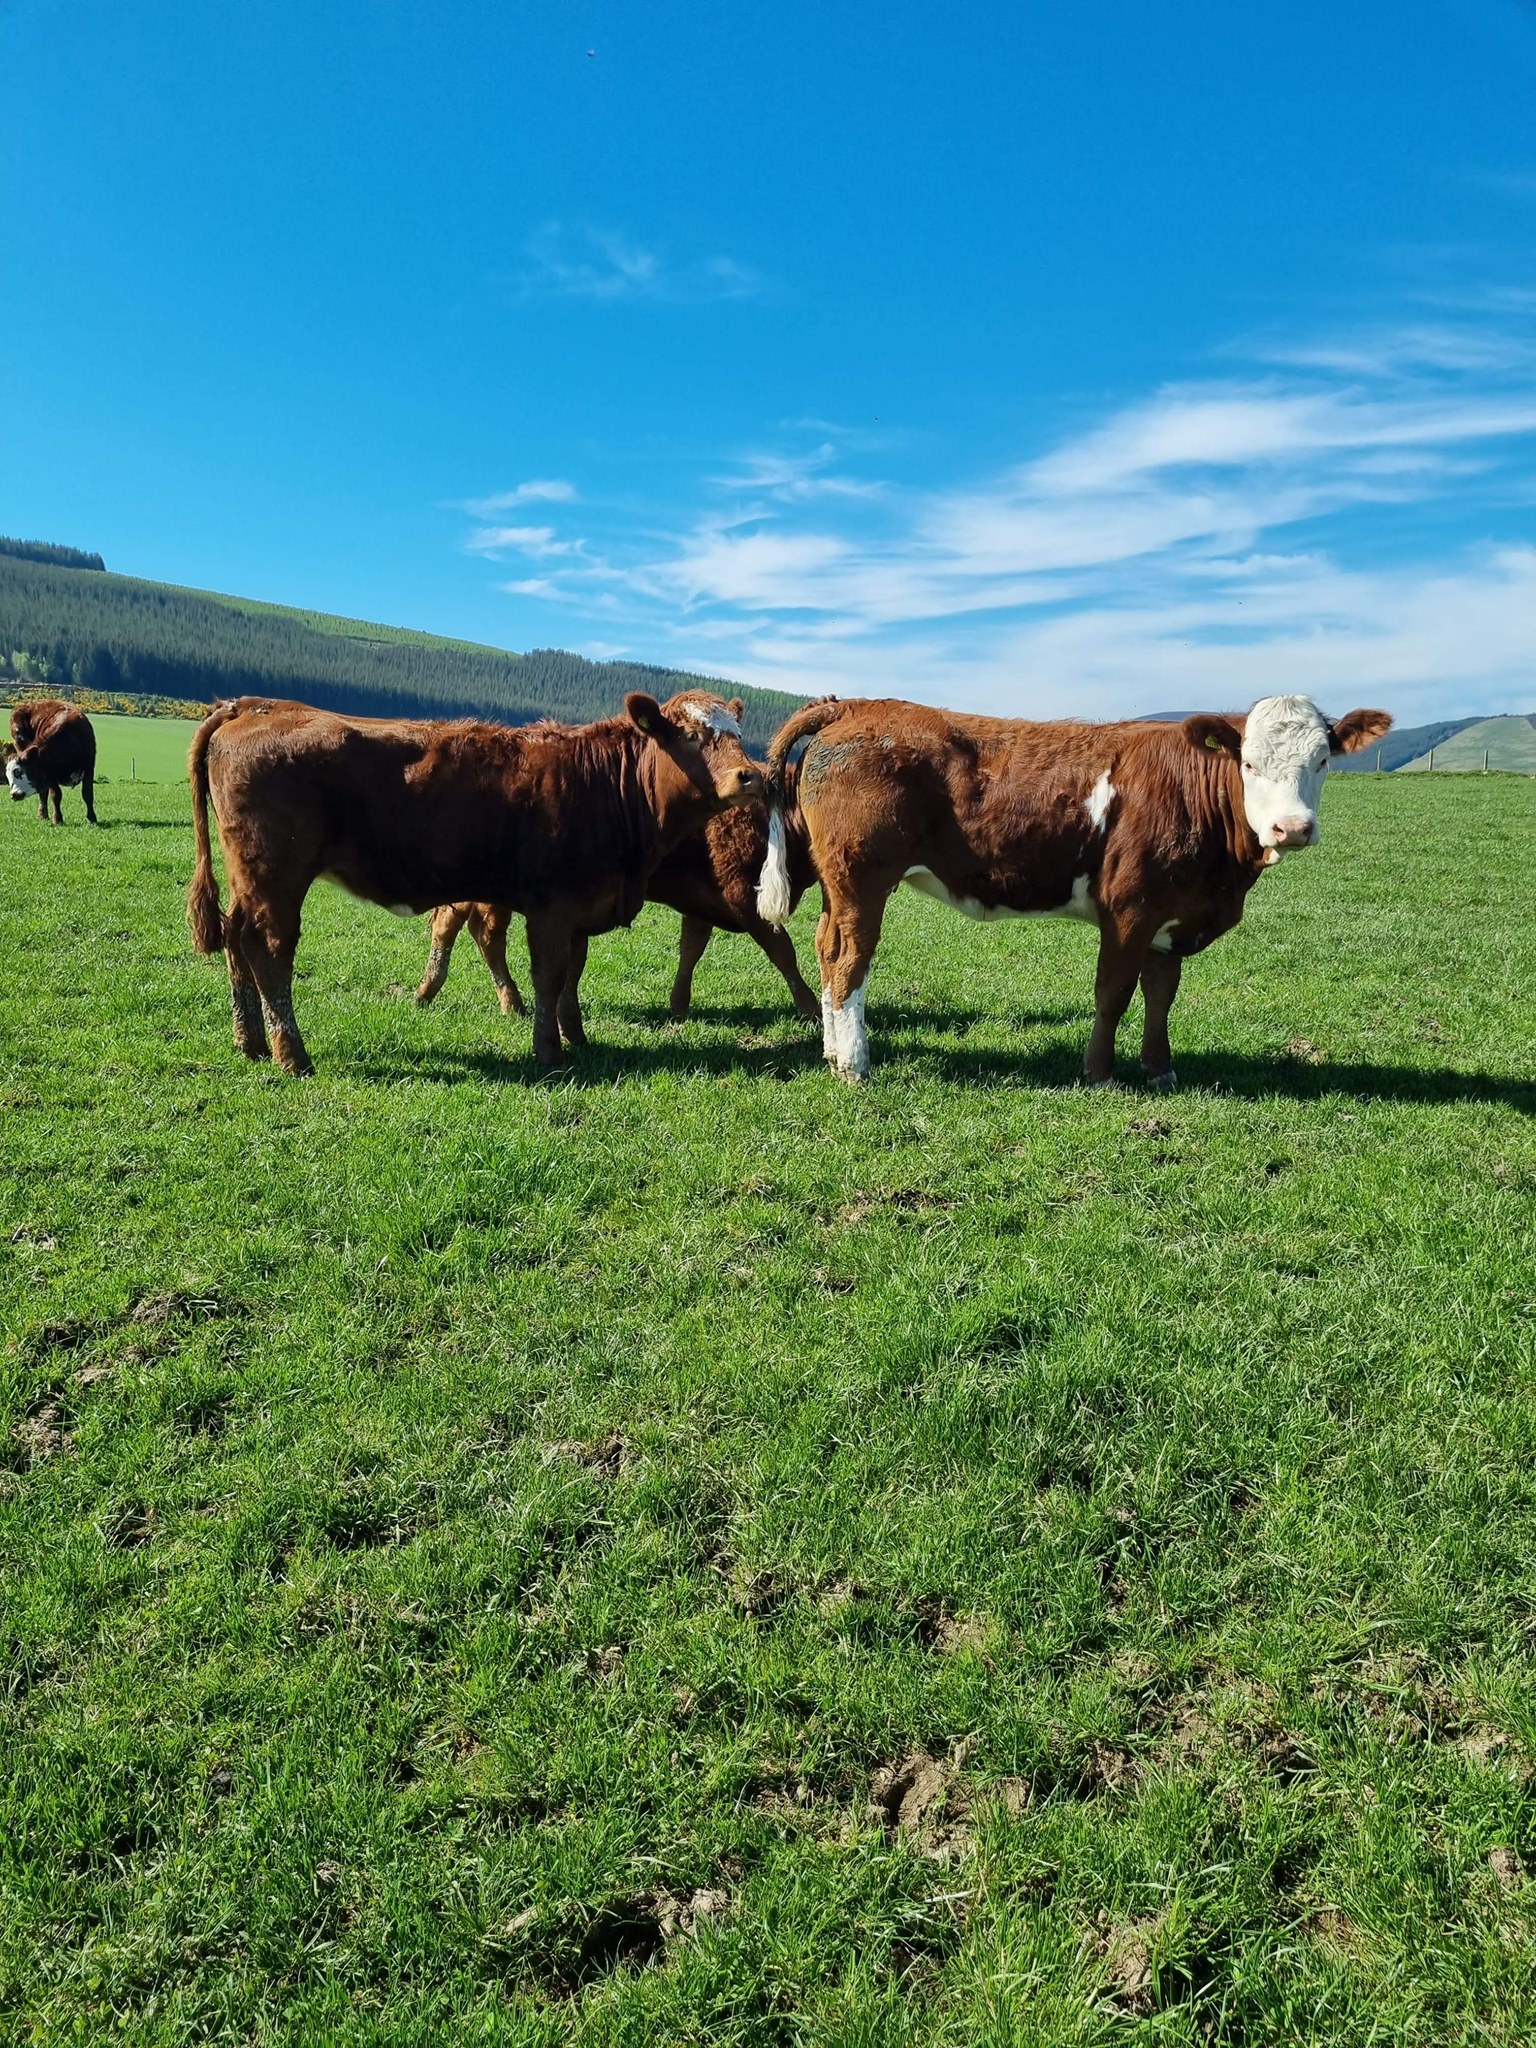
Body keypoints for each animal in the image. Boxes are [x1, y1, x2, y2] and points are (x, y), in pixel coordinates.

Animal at [186, 691, 765, 1074]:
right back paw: (291, 1055)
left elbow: (572, 977)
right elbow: (550, 977)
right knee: (269, 949)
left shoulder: (582, 905)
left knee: (236, 939)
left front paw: (577, 1036)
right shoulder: (552, 905)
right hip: (276, 874)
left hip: (249, 879)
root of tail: (252, 705)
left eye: (738, 737)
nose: (751, 775)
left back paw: (249, 1043)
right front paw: (549, 1052)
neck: (605, 784)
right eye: (689, 735)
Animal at [414, 760, 821, 1024]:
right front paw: (810, 1007)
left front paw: (678, 1005)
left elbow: (691, 949)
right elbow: (783, 951)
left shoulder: (703, 903)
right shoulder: (746, 900)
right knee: (471, 929)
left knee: (475, 931)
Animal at [755, 693, 1392, 1084]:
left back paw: (832, 1050)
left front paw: (1160, 1069)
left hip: (839, 886)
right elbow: (1113, 992)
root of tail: (856, 705)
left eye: (1323, 761)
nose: (1293, 828)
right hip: (862, 880)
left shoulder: (1171, 912)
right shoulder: (1130, 908)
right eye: (1250, 764)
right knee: (850, 960)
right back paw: (854, 1064)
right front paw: (1100, 1073)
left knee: (826, 947)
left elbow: (1161, 994)